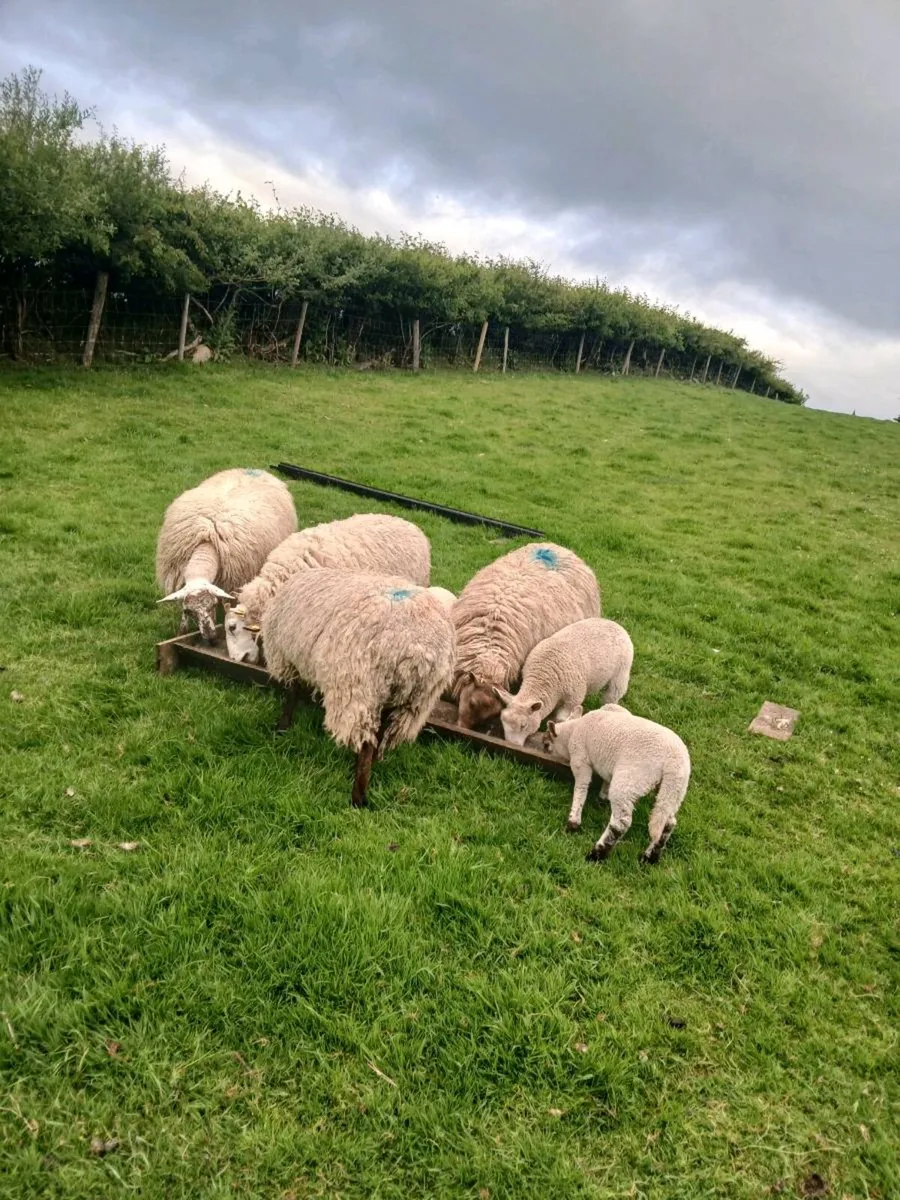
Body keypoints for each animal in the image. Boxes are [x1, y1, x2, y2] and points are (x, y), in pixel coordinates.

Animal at [156, 467, 298, 642]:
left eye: (212, 604)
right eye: (189, 611)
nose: (210, 637)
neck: (208, 541)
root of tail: (255, 469)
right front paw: (182, 631)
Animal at [262, 570, 457, 807]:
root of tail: (418, 651)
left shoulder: (289, 657)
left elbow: (291, 694)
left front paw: (282, 727)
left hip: (363, 689)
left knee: (366, 743)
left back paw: (358, 796)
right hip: (412, 702)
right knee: (378, 737)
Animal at [493, 618, 633, 746]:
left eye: (523, 725)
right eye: (502, 722)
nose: (512, 745)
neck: (543, 675)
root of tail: (614, 623)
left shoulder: (572, 699)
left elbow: (561, 719)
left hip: (621, 674)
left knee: (612, 696)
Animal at [542, 703, 690, 864]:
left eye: (546, 743)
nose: (543, 748)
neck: (572, 731)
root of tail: (674, 760)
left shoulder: (580, 759)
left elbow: (581, 788)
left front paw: (573, 822)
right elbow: (606, 780)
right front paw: (602, 797)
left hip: (630, 780)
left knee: (620, 824)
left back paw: (596, 854)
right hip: (674, 789)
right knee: (667, 822)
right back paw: (650, 857)